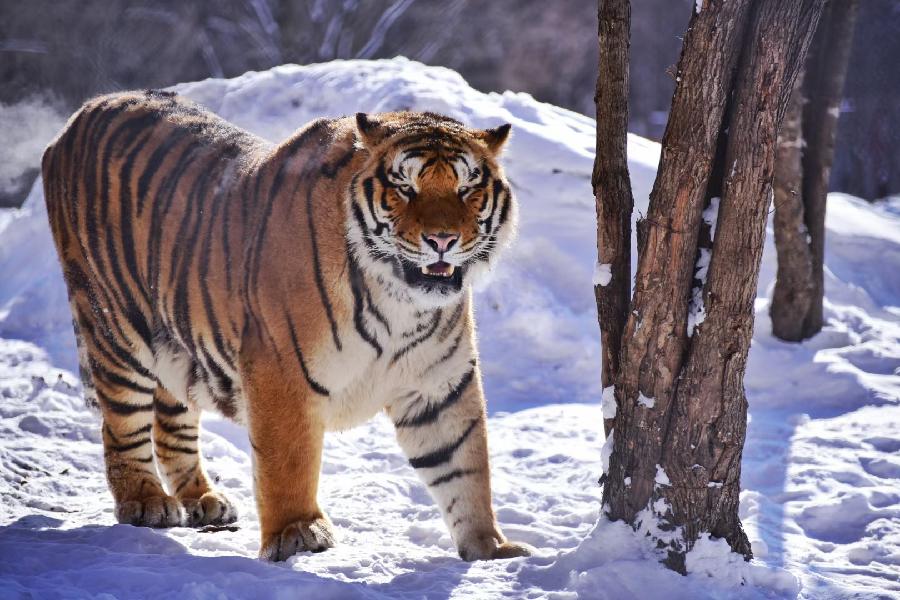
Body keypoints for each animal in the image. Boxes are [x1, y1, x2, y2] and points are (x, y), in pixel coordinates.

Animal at [41, 89, 532, 562]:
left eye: (466, 188)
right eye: (405, 187)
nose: (442, 240)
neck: (401, 302)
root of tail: (80, 114)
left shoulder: (441, 385)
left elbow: (465, 467)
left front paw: (491, 548)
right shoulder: (282, 372)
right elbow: (288, 463)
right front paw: (298, 533)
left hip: (176, 345)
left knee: (172, 421)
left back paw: (203, 499)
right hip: (115, 327)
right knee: (122, 425)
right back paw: (145, 502)